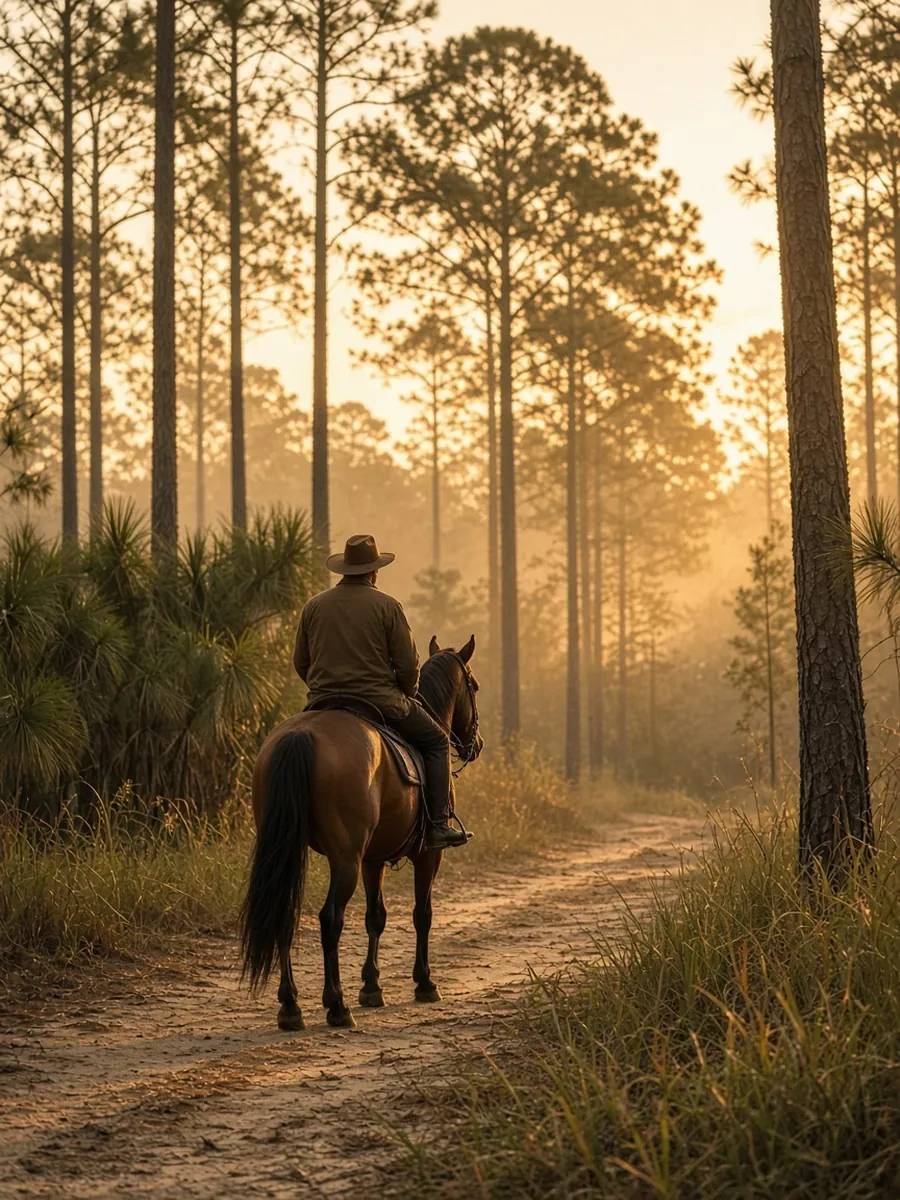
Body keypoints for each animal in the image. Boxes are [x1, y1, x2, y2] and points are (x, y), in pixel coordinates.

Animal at [239, 634, 483, 1031]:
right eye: (473, 686)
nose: (476, 745)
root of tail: (301, 735)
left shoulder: (373, 858)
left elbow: (376, 917)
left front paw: (371, 986)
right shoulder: (428, 855)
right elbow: (422, 914)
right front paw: (424, 983)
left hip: (292, 850)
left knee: (286, 914)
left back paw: (291, 1006)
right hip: (346, 859)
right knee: (330, 920)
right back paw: (336, 1005)